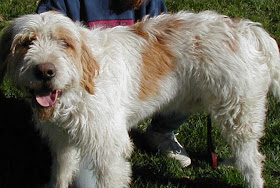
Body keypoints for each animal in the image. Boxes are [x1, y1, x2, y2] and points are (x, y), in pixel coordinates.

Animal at [0, 10, 280, 188]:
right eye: (26, 42)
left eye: (64, 42)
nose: (45, 71)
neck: (79, 82)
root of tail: (246, 28)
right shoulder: (62, 140)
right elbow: (61, 173)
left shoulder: (108, 149)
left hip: (239, 114)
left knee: (252, 160)